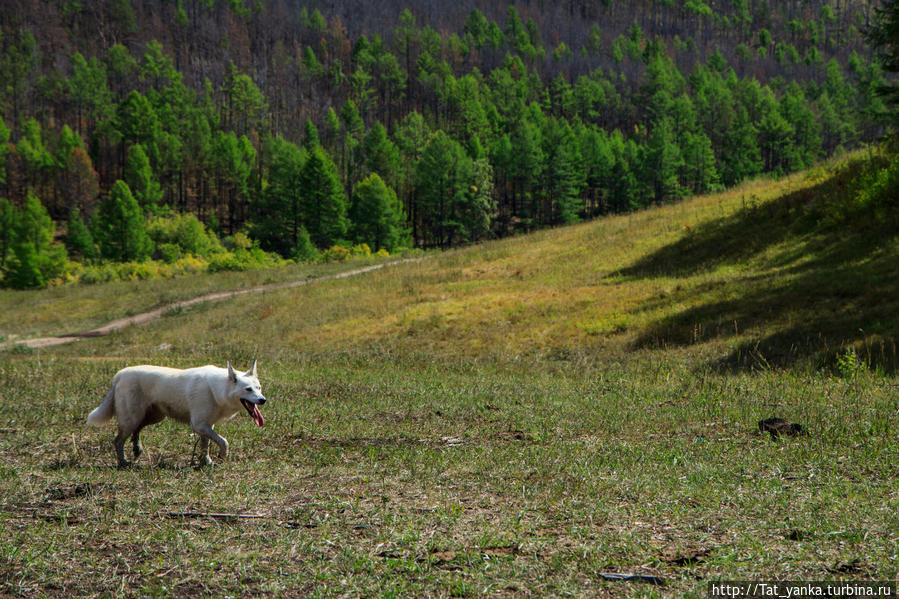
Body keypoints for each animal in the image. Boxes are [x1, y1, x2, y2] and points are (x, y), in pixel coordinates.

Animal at [87, 360, 268, 468]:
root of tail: (118, 375)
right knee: (118, 440)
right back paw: (123, 462)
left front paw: (206, 462)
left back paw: (137, 449)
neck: (218, 389)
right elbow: (224, 442)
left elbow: (206, 445)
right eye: (248, 389)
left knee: (136, 431)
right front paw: (221, 457)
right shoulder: (199, 425)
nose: (263, 400)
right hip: (132, 418)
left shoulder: (206, 426)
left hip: (152, 417)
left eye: (258, 388)